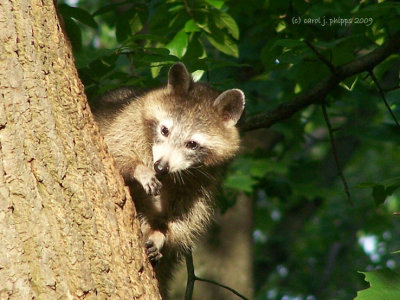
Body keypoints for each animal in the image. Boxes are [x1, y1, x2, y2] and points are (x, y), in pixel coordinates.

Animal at [93, 62, 244, 298]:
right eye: (164, 130)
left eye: (192, 144)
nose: (160, 167)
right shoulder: (128, 121)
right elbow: (114, 151)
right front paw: (140, 169)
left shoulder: (203, 180)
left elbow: (186, 218)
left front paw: (160, 233)